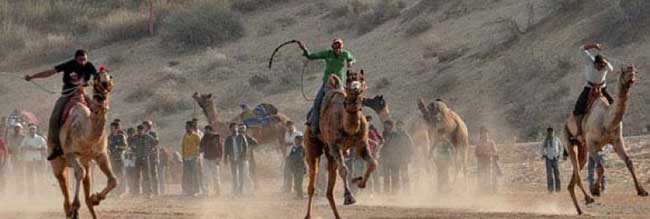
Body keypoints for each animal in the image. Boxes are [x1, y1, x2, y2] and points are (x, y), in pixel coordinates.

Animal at [51, 74, 117, 219]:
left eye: (110, 79)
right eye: (97, 81)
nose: (104, 84)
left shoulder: (101, 154)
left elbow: (114, 180)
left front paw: (96, 198)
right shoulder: (71, 154)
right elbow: (79, 173)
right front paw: (76, 206)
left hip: (86, 160)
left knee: (87, 178)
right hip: (58, 160)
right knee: (63, 179)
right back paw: (70, 210)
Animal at [302, 69, 374, 219]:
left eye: (361, 78)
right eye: (349, 79)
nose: (356, 88)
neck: (347, 126)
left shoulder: (362, 143)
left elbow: (373, 163)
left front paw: (360, 182)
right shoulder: (335, 146)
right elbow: (344, 169)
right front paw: (349, 198)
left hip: (330, 156)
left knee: (329, 191)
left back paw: (338, 216)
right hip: (312, 147)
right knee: (312, 183)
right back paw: (308, 215)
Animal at [560, 66, 644, 215]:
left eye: (634, 71)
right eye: (624, 72)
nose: (632, 77)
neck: (606, 119)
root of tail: (565, 123)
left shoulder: (617, 141)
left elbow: (629, 161)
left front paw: (642, 191)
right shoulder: (592, 143)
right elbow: (600, 167)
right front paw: (596, 190)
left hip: (582, 147)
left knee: (577, 171)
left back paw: (580, 209)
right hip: (567, 139)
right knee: (577, 169)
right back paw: (588, 198)